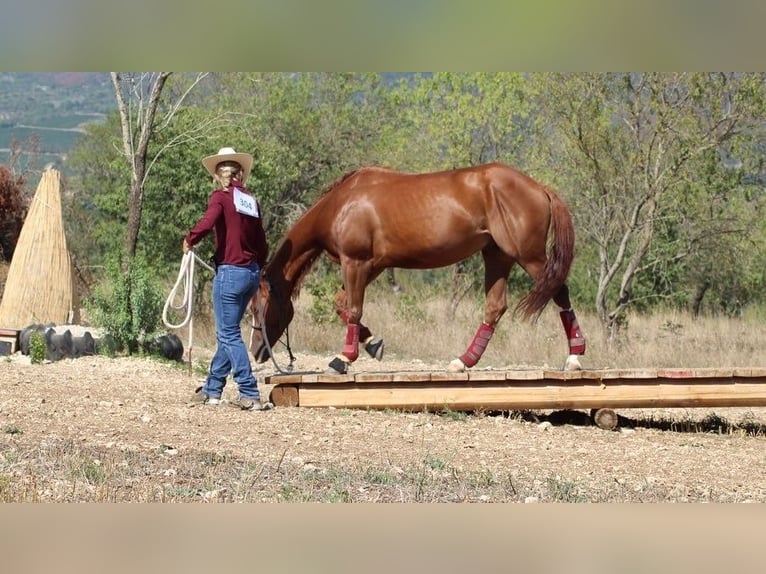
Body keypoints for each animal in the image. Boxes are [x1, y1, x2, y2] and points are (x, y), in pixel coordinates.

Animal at [250, 162, 586, 374]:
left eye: (257, 308)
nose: (256, 351)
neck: (341, 204)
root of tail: (539, 186)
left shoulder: (356, 262)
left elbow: (354, 309)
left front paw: (344, 358)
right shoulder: (374, 266)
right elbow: (342, 305)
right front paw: (372, 343)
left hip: (529, 257)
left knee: (560, 292)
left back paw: (574, 358)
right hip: (497, 256)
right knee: (495, 307)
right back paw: (463, 361)